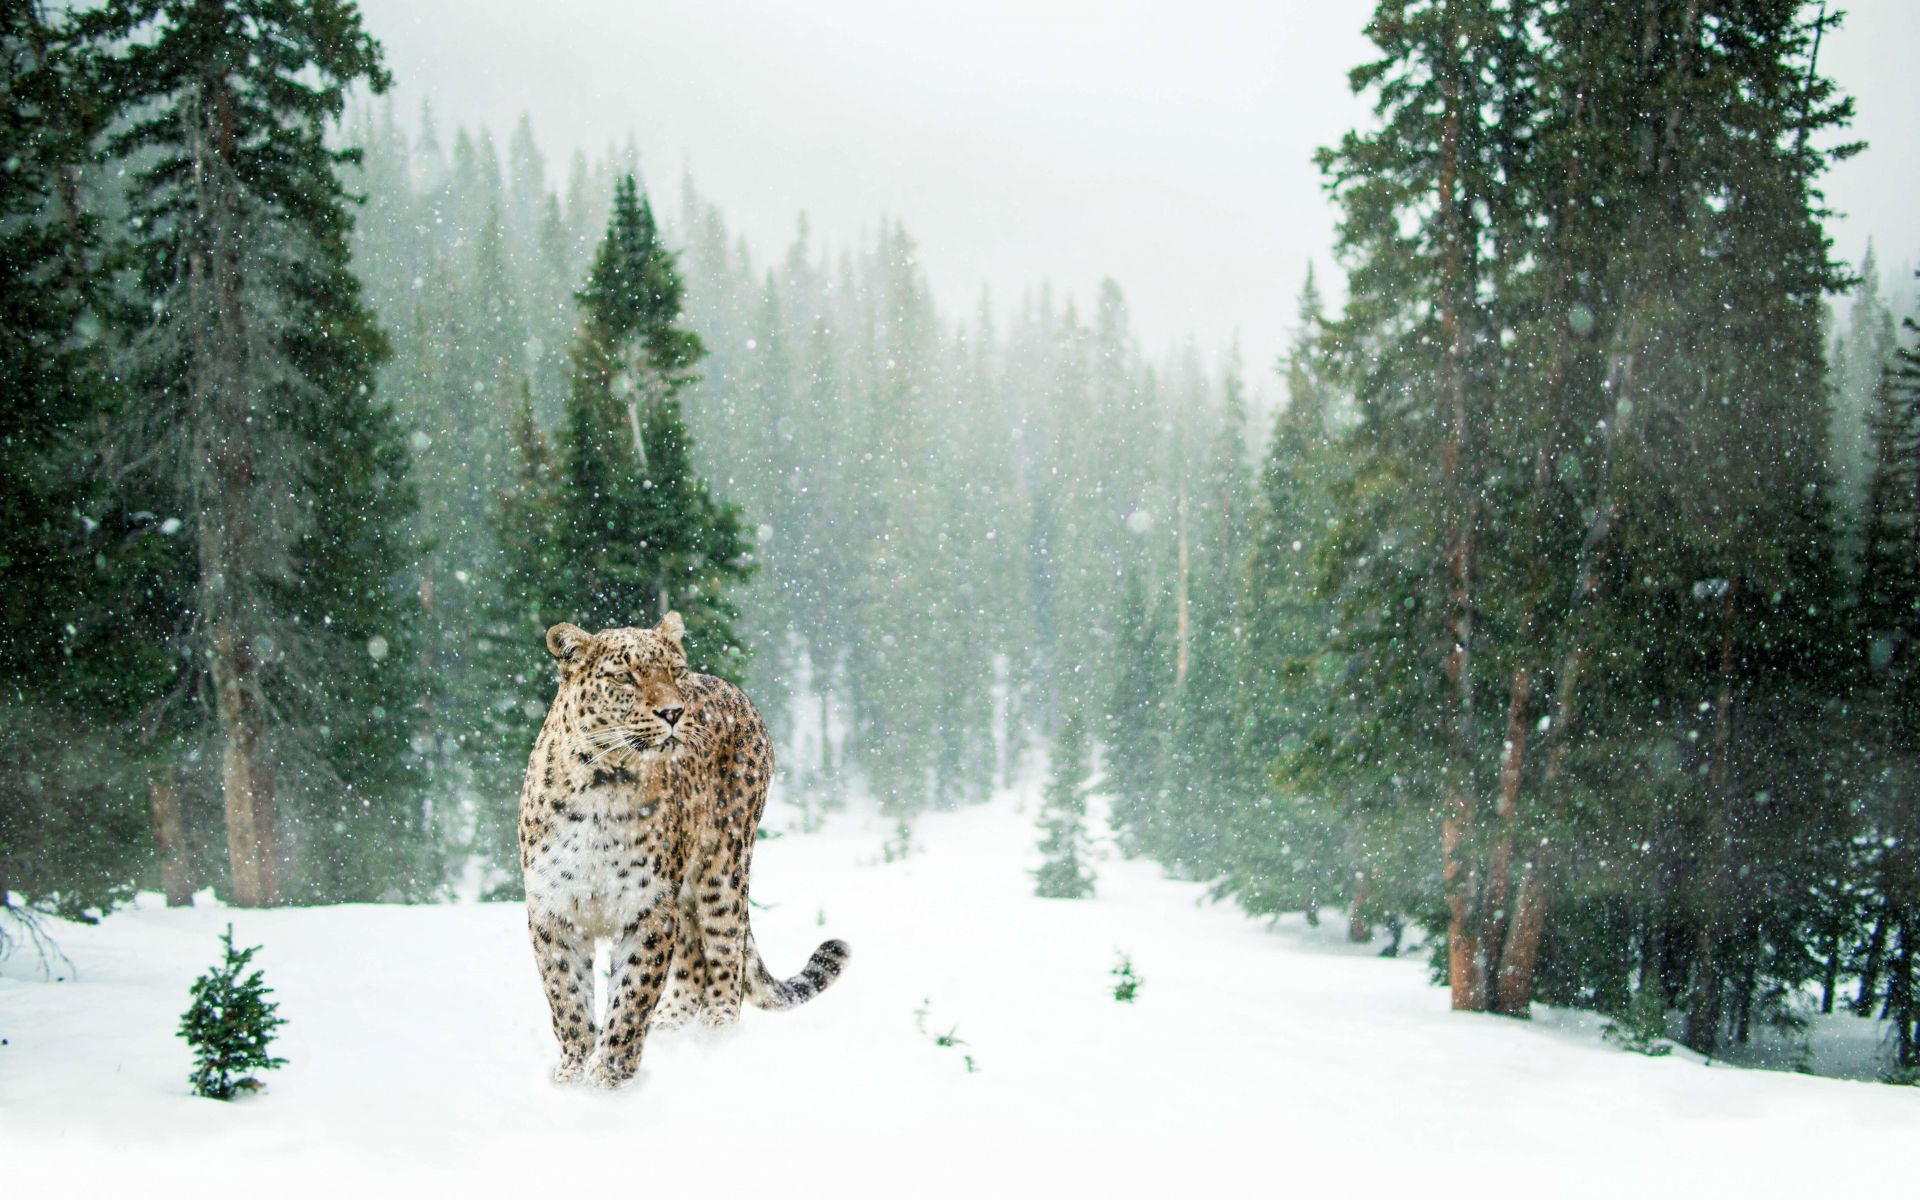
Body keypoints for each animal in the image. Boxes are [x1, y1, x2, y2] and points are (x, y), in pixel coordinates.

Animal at [518, 611, 849, 1088]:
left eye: (675, 672)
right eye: (624, 677)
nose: (674, 712)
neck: (604, 785)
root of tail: (734, 689)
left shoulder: (649, 909)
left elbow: (631, 998)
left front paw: (609, 1077)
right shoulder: (554, 911)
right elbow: (568, 999)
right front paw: (573, 1073)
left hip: (723, 867)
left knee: (725, 952)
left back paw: (716, 1035)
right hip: (688, 892)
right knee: (693, 958)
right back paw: (672, 1027)